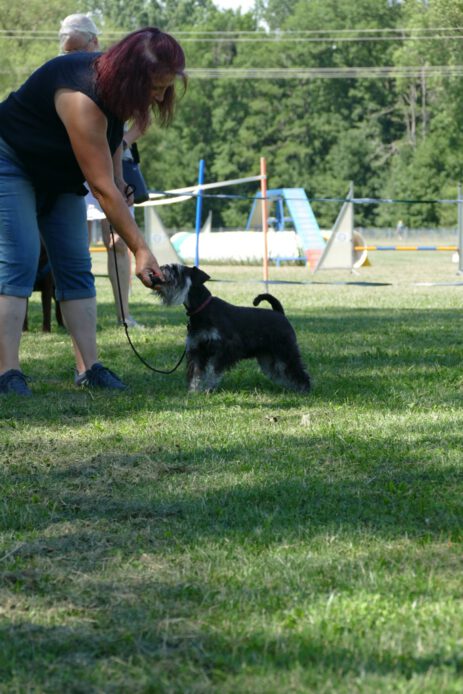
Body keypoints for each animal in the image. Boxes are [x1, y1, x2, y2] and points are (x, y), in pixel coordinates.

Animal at [152, 264, 311, 393]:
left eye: (176, 270)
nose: (158, 270)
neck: (201, 309)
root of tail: (280, 313)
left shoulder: (224, 349)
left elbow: (212, 371)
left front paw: (208, 389)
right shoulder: (197, 349)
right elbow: (197, 373)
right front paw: (194, 391)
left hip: (285, 350)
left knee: (296, 370)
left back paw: (304, 389)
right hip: (268, 357)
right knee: (280, 371)